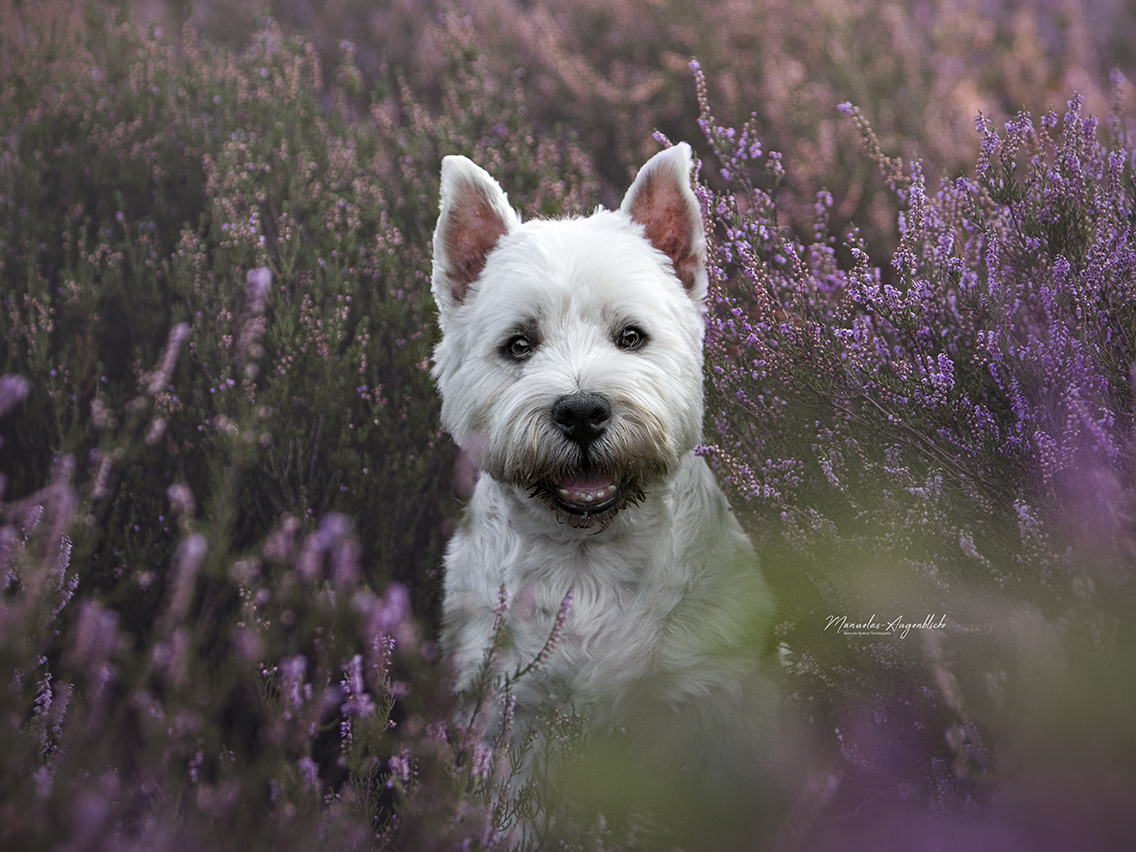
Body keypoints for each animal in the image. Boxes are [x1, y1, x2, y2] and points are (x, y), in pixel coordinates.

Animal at [429, 142, 777, 786]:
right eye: (519, 344)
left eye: (631, 336)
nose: (582, 412)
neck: (586, 558)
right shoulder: (511, 705)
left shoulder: (707, 695)